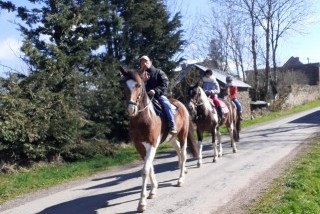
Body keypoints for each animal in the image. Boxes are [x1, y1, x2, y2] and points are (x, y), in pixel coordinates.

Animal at [119, 66, 196, 212]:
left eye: (138, 85)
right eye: (124, 85)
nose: (131, 108)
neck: (143, 118)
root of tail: (181, 104)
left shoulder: (152, 144)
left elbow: (145, 170)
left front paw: (142, 203)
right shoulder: (139, 146)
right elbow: (149, 168)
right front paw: (153, 190)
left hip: (183, 134)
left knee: (183, 154)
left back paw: (180, 179)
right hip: (171, 138)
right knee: (178, 149)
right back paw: (183, 170)